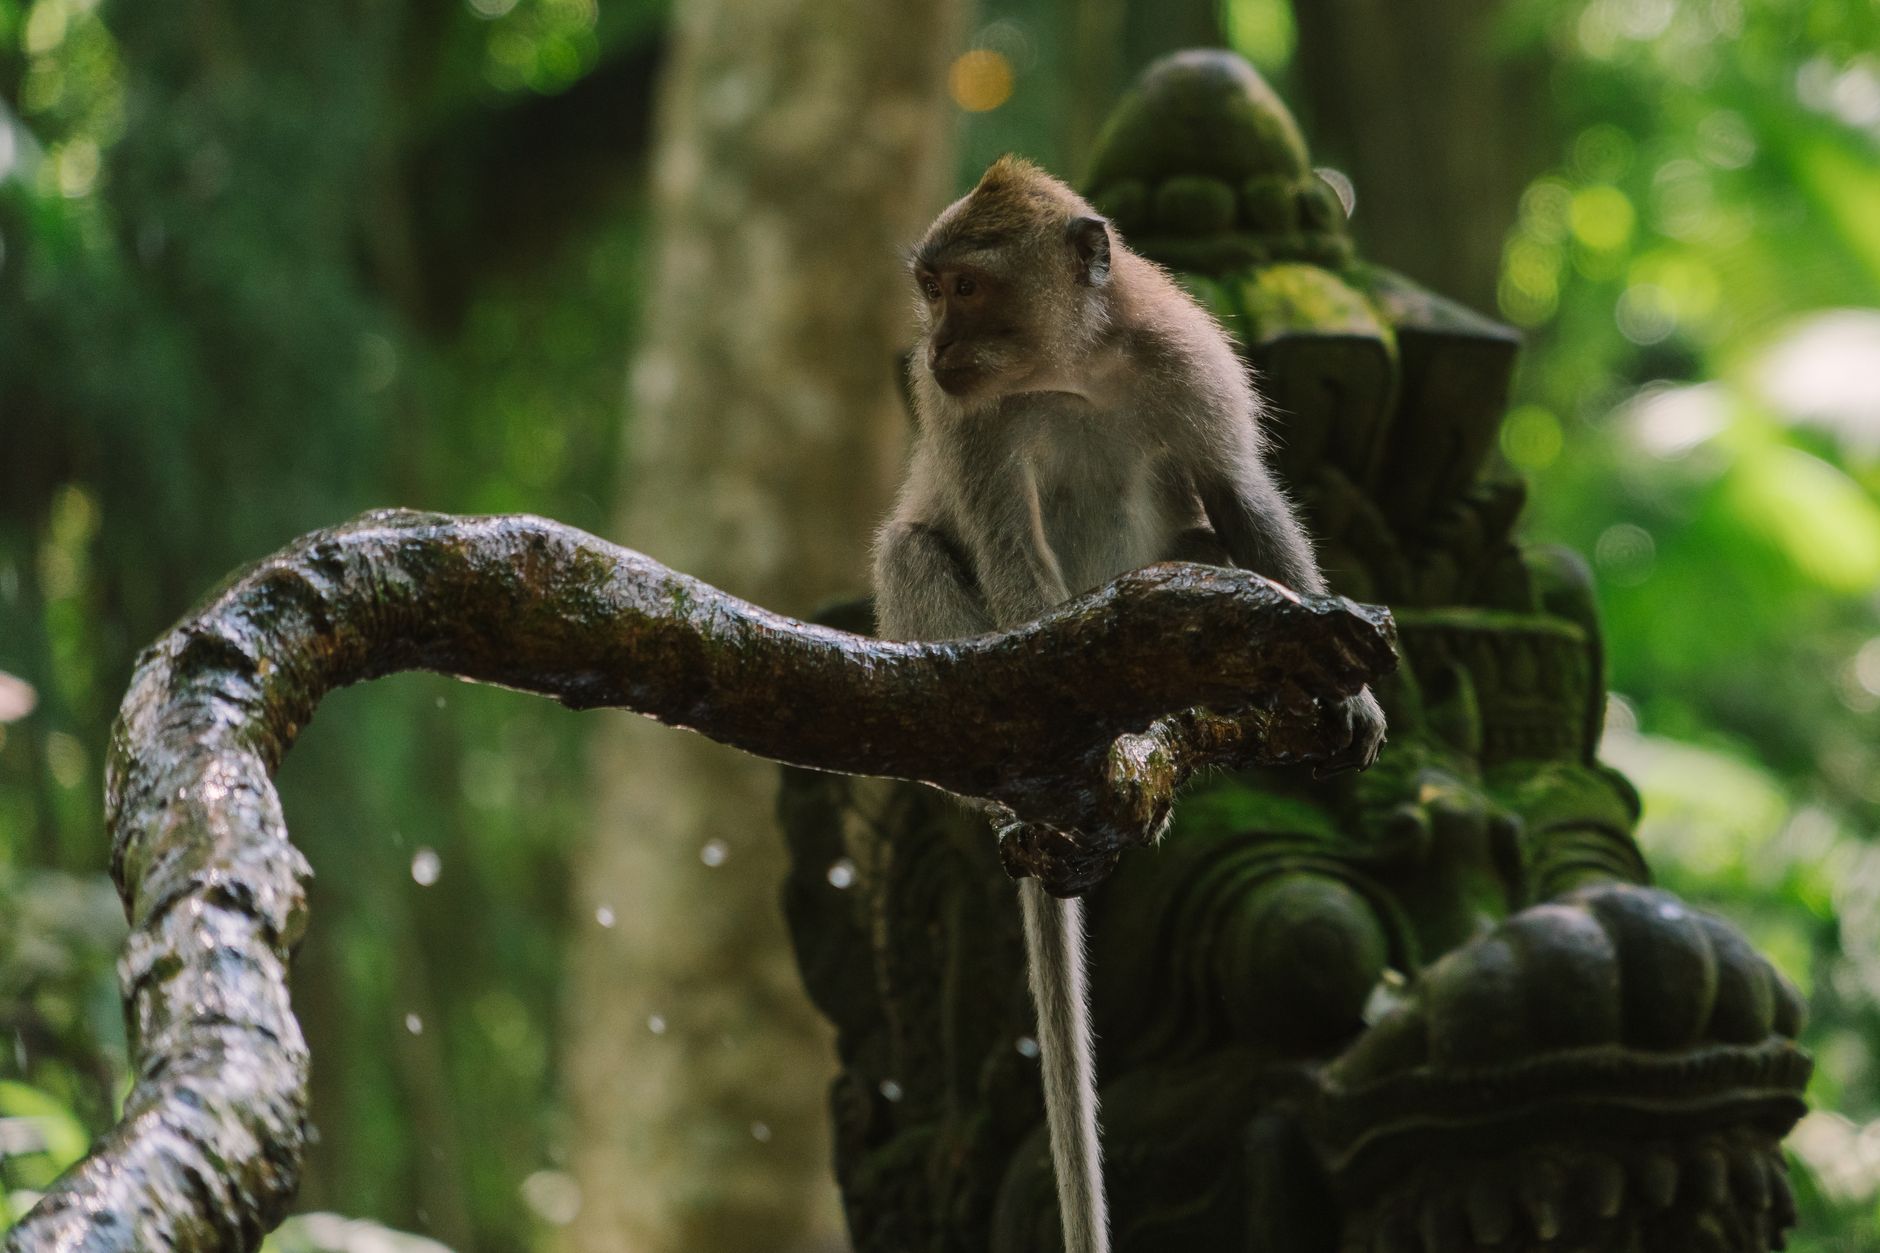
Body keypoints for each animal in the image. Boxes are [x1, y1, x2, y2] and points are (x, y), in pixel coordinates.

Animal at [870, 156, 1386, 1253]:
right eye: (931, 289)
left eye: (964, 287)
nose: (934, 346)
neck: (1072, 368)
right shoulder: (966, 420)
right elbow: (1005, 547)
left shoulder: (1188, 364)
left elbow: (1236, 495)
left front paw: (1347, 687)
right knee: (912, 549)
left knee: (1195, 538)